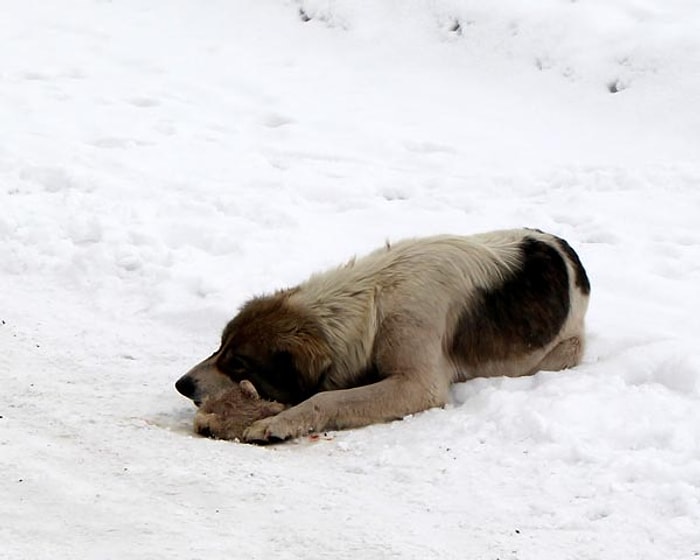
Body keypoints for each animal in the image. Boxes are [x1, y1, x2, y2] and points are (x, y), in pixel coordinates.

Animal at [176, 228, 592, 442]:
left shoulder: (417, 383)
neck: (376, 300)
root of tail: (567, 251)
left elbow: (324, 398)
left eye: (238, 362)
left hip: (564, 351)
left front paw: (275, 423)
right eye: (219, 347)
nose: (182, 385)